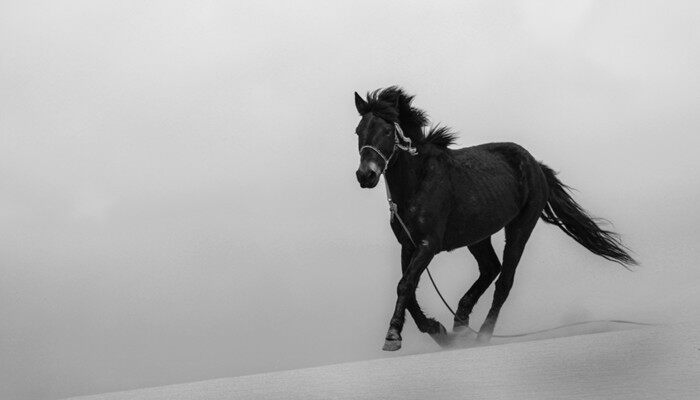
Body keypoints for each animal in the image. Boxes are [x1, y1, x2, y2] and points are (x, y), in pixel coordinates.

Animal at [352, 86, 636, 350]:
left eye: (387, 131)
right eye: (358, 131)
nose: (366, 175)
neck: (418, 181)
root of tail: (536, 165)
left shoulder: (428, 244)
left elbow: (405, 285)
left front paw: (393, 336)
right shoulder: (408, 245)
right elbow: (408, 289)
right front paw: (437, 330)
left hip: (520, 229)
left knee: (504, 282)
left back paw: (482, 336)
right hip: (477, 235)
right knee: (490, 268)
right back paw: (460, 323)